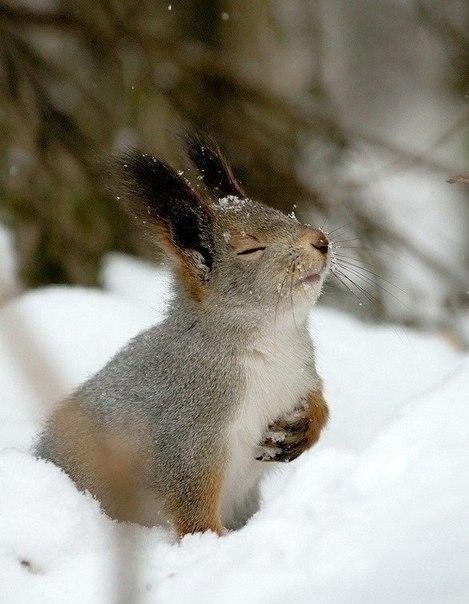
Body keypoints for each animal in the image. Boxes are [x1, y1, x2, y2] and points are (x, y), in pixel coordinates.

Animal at [33, 134, 330, 536]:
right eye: (250, 248)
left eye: (284, 214)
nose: (321, 240)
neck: (272, 339)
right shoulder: (187, 431)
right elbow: (192, 503)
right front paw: (210, 543)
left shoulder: (301, 372)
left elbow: (318, 401)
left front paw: (305, 426)